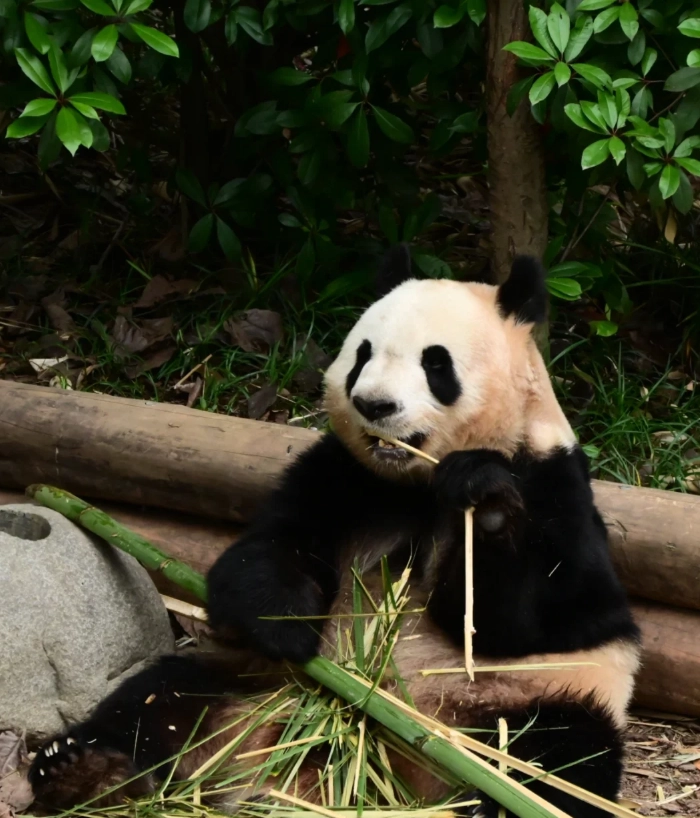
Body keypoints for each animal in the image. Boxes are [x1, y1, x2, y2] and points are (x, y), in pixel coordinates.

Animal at [29, 246, 640, 818]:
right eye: (362, 354)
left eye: (436, 363)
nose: (375, 404)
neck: (412, 482)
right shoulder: (340, 476)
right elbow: (269, 548)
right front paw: (286, 623)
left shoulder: (553, 483)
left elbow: (521, 620)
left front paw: (485, 502)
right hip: (244, 680)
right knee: (157, 700)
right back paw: (85, 772)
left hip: (525, 699)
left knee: (556, 757)